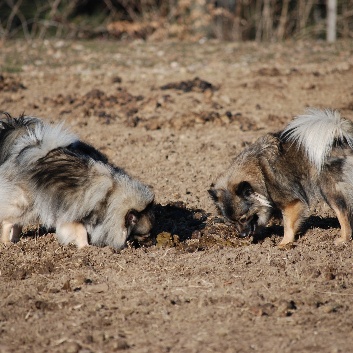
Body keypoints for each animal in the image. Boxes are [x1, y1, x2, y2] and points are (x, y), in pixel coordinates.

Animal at [0, 113, 154, 248]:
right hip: (27, 205)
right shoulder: (72, 217)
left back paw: (15, 239)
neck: (109, 198)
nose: (153, 243)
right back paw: (6, 242)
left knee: (17, 223)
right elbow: (81, 231)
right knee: (8, 221)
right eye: (145, 235)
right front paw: (86, 247)